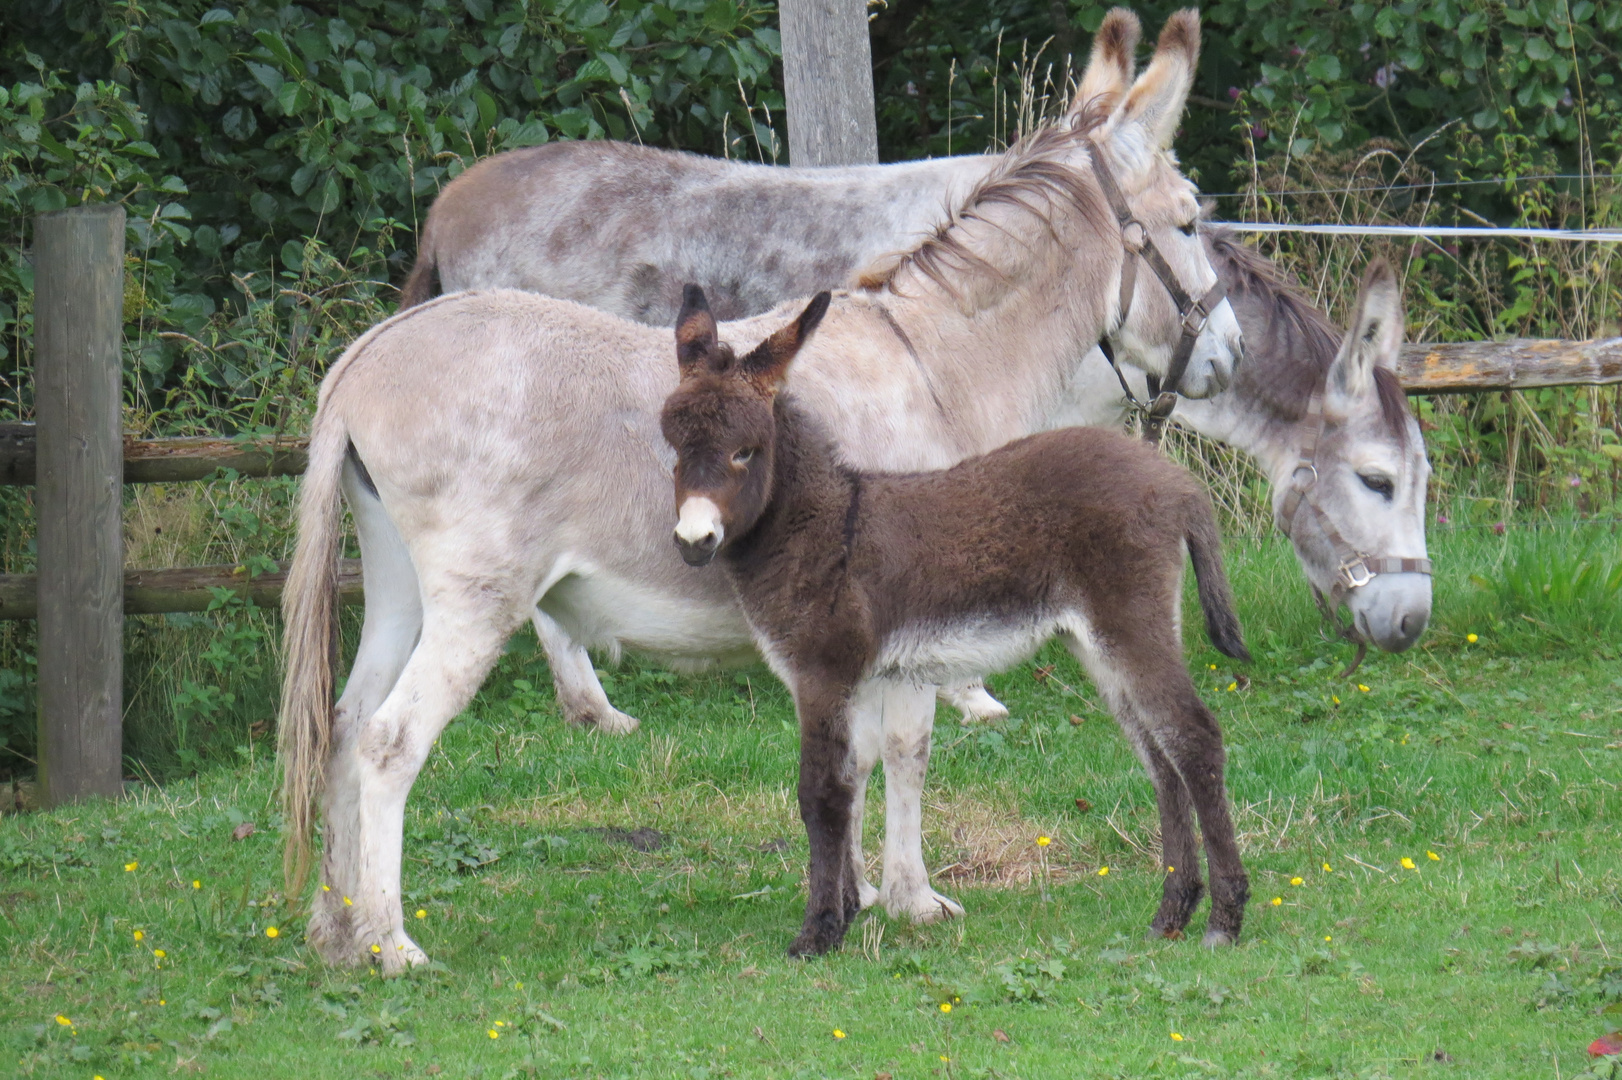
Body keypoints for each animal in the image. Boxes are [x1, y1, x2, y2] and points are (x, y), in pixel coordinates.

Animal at [658, 283, 1252, 953]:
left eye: (744, 452)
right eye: (674, 450)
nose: (693, 541)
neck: (829, 526)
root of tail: (1177, 482)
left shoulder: (822, 675)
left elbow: (822, 794)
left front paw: (818, 932)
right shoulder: (861, 680)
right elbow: (853, 781)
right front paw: (850, 908)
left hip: (1131, 625)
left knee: (1193, 737)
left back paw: (1225, 919)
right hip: (1100, 642)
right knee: (1160, 755)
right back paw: (1172, 911)